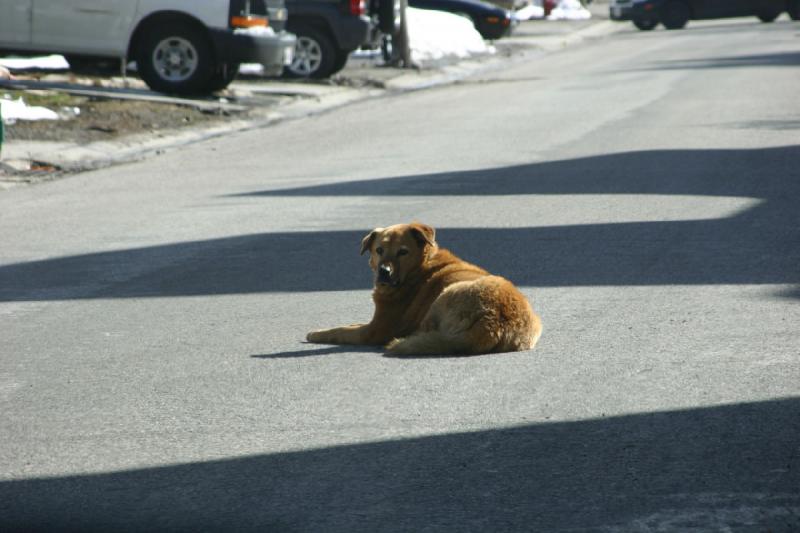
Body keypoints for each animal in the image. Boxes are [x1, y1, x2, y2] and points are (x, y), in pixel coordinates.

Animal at [306, 222, 544, 356]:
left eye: (403, 252)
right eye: (379, 250)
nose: (384, 272)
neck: (420, 268)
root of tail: (494, 322)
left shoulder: (375, 330)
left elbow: (340, 330)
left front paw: (315, 333)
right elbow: (349, 325)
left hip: (446, 295)